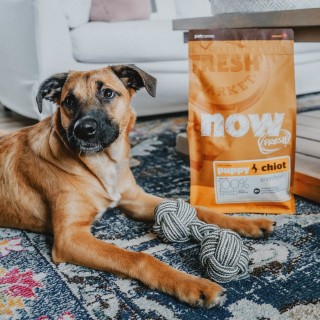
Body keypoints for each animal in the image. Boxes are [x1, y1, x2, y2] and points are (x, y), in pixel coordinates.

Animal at [0, 64, 276, 308]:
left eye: (107, 93)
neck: (101, 164)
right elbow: (139, 257)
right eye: (68, 101)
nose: (83, 130)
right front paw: (192, 285)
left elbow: (198, 209)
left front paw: (248, 222)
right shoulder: (69, 237)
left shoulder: (135, 200)